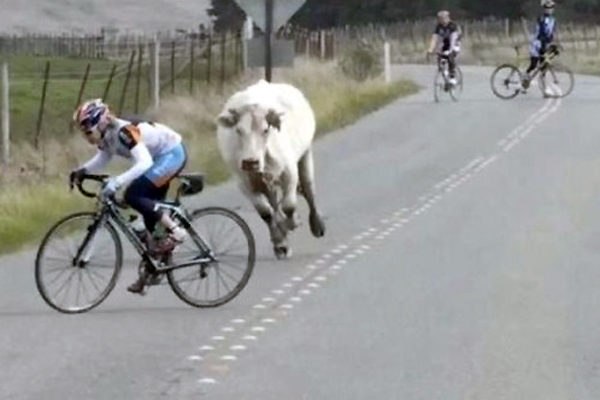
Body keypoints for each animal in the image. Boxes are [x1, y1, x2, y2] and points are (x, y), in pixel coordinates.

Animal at [216, 79, 326, 259]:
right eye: (238, 130)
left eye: (266, 130)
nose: (250, 162)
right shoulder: (245, 183)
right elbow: (266, 213)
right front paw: (280, 243)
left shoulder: (289, 172)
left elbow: (289, 205)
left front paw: (293, 223)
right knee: (274, 205)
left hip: (305, 155)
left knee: (309, 190)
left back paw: (317, 225)